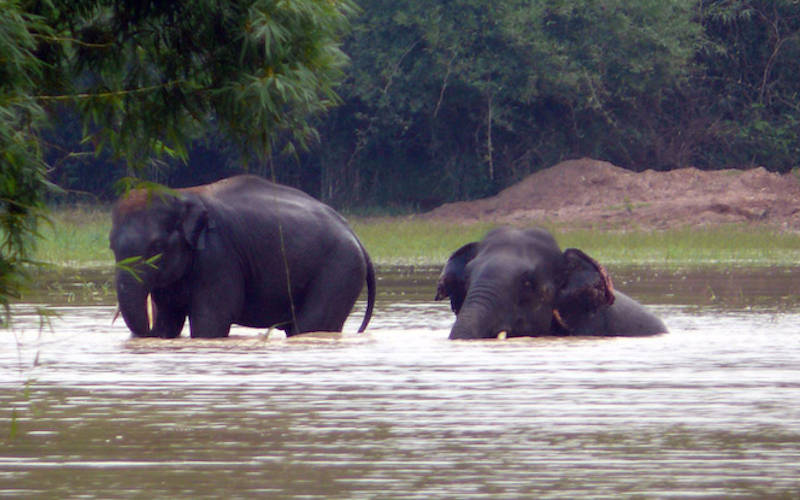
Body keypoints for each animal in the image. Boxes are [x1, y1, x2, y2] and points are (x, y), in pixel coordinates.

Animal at [108, 174, 378, 338]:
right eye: (111, 247)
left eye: (156, 247)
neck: (182, 195)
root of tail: (356, 236)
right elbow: (168, 320)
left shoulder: (218, 257)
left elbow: (211, 321)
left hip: (339, 270)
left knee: (311, 326)